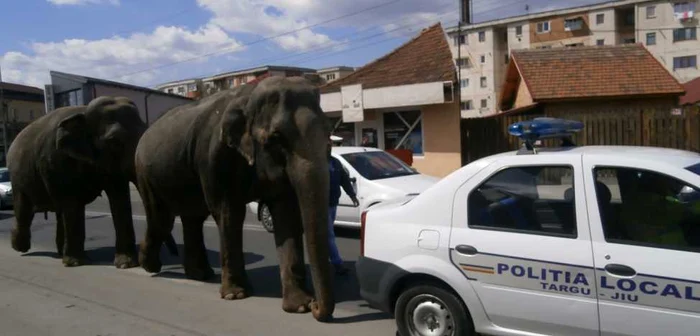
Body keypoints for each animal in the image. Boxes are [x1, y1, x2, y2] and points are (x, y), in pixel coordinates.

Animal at [7, 96, 178, 268]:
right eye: (114, 142)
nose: (174, 254)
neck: (83, 112)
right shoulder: (56, 160)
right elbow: (72, 204)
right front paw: (76, 263)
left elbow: (120, 200)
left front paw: (126, 264)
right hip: (18, 177)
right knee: (23, 209)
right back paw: (20, 247)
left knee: (58, 213)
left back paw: (60, 252)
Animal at [135, 75, 336, 322]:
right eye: (276, 138)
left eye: (328, 133)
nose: (316, 306)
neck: (249, 95)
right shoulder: (215, 158)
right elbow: (229, 213)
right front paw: (236, 295)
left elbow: (285, 215)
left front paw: (299, 307)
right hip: (145, 173)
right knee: (161, 218)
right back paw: (150, 266)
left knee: (192, 218)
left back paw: (199, 274)